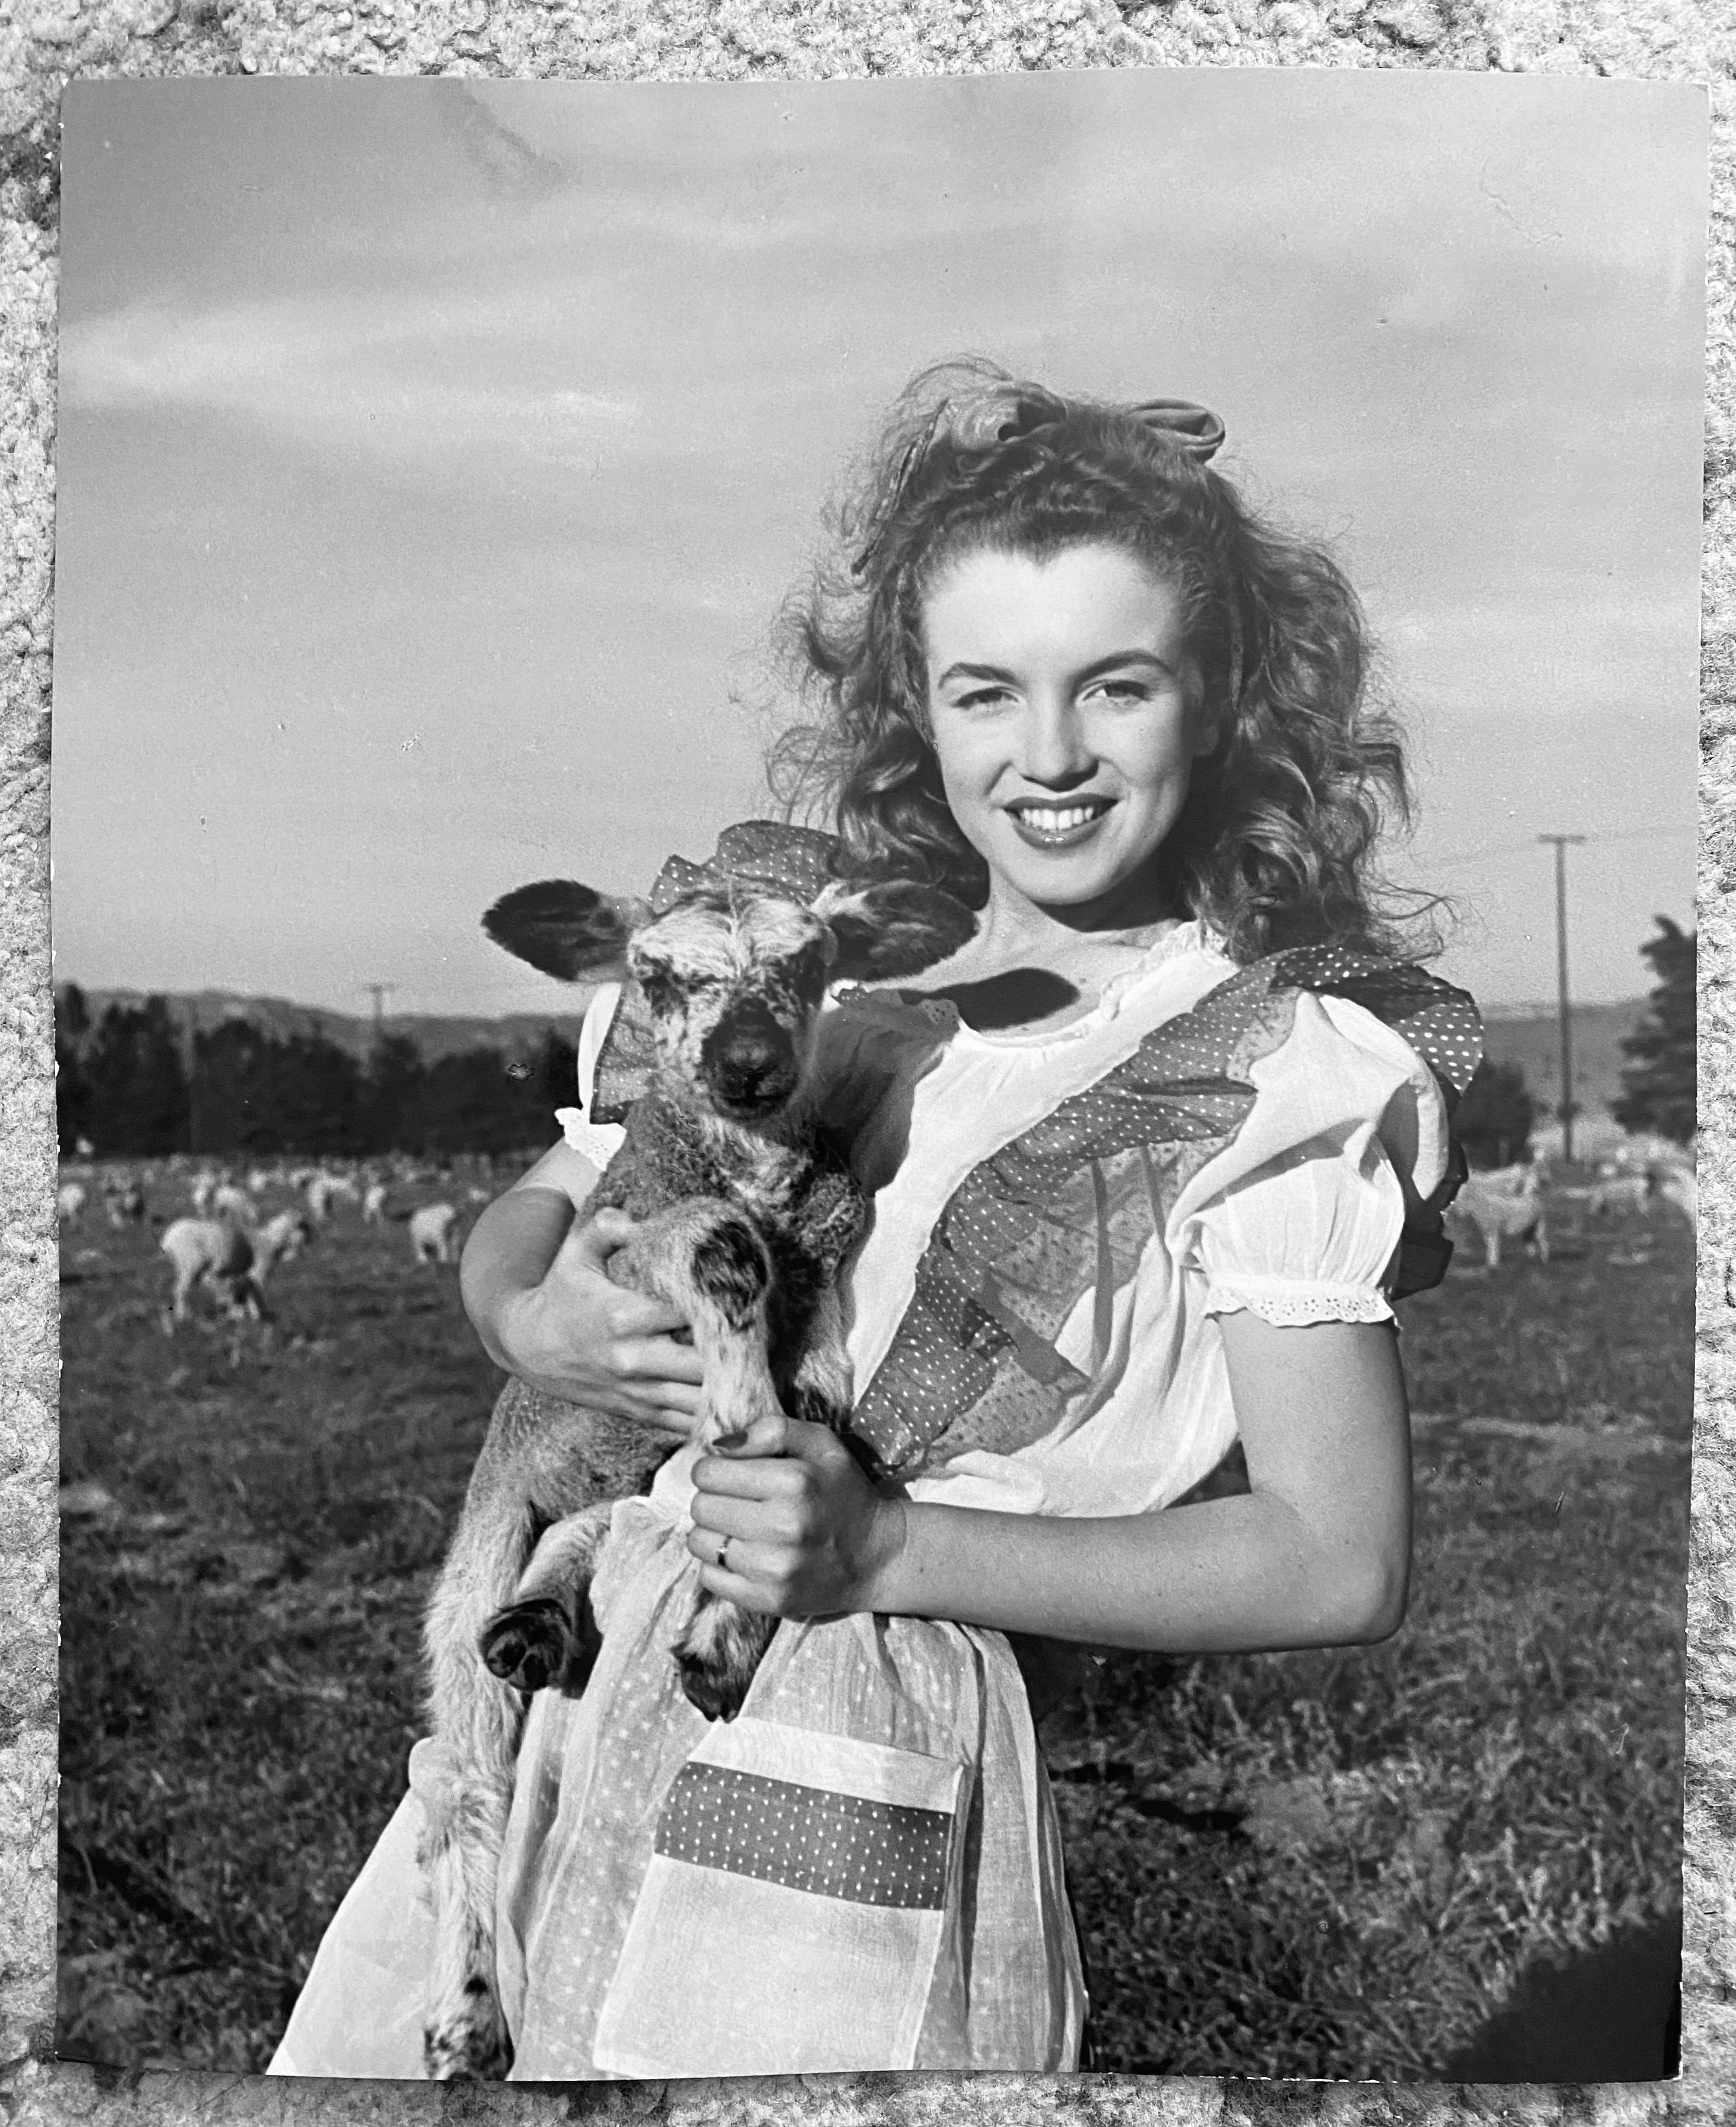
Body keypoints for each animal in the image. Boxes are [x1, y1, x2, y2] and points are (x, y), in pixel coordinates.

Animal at [413, 859, 970, 2075]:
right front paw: (733, 1407)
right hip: (478, 1543)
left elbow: (806, 1430)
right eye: (654, 974)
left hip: (594, 1498)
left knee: (582, 1538)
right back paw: (468, 2016)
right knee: (465, 1775)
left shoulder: (819, 1314)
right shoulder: (630, 1248)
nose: (748, 1063)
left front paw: (725, 1631)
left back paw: (542, 1628)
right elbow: (717, 1245)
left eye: (809, 964)